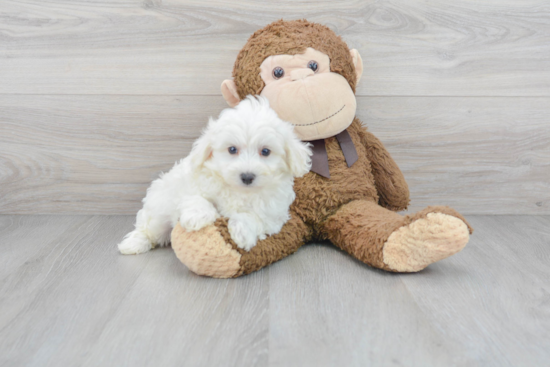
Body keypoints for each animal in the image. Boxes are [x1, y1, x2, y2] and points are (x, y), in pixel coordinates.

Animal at [118, 96, 312, 254]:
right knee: (149, 228)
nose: (247, 176)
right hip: (159, 209)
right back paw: (133, 244)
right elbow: (197, 199)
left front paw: (243, 231)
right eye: (232, 149)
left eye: (265, 151)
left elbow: (254, 217)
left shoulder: (273, 216)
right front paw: (196, 217)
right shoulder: (191, 187)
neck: (239, 191)